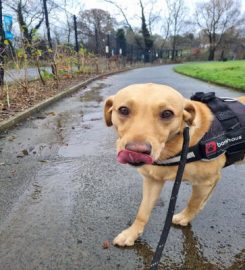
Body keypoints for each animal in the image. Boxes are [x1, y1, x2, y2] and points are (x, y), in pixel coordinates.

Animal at [104, 84, 245, 247]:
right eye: (123, 110)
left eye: (167, 113)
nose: (137, 151)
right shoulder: (152, 181)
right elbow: (143, 211)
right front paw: (132, 233)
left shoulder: (205, 182)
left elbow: (193, 203)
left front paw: (185, 217)